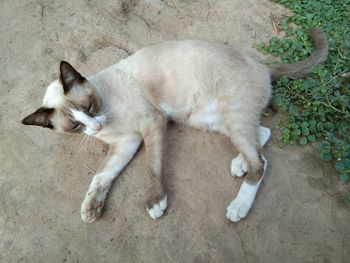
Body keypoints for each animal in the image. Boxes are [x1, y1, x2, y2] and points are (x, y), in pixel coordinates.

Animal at [21, 28, 328, 223]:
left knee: (260, 163)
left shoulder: (151, 124)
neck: (108, 119)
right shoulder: (126, 143)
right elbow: (101, 176)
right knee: (262, 137)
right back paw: (239, 164)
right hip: (211, 121)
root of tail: (263, 66)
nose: (94, 128)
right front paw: (91, 208)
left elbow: (152, 167)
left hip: (231, 117)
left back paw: (238, 206)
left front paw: (156, 202)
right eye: (75, 126)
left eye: (89, 108)